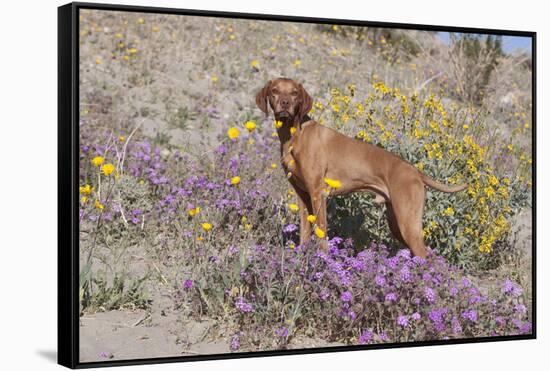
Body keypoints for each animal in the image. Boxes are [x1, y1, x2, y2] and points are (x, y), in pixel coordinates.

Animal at [256, 77, 468, 258]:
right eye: (275, 91)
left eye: (294, 93)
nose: (285, 103)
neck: (295, 135)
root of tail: (415, 171)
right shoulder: (303, 196)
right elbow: (305, 233)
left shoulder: (317, 193)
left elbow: (322, 232)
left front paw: (323, 259)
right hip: (396, 223)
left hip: (407, 222)